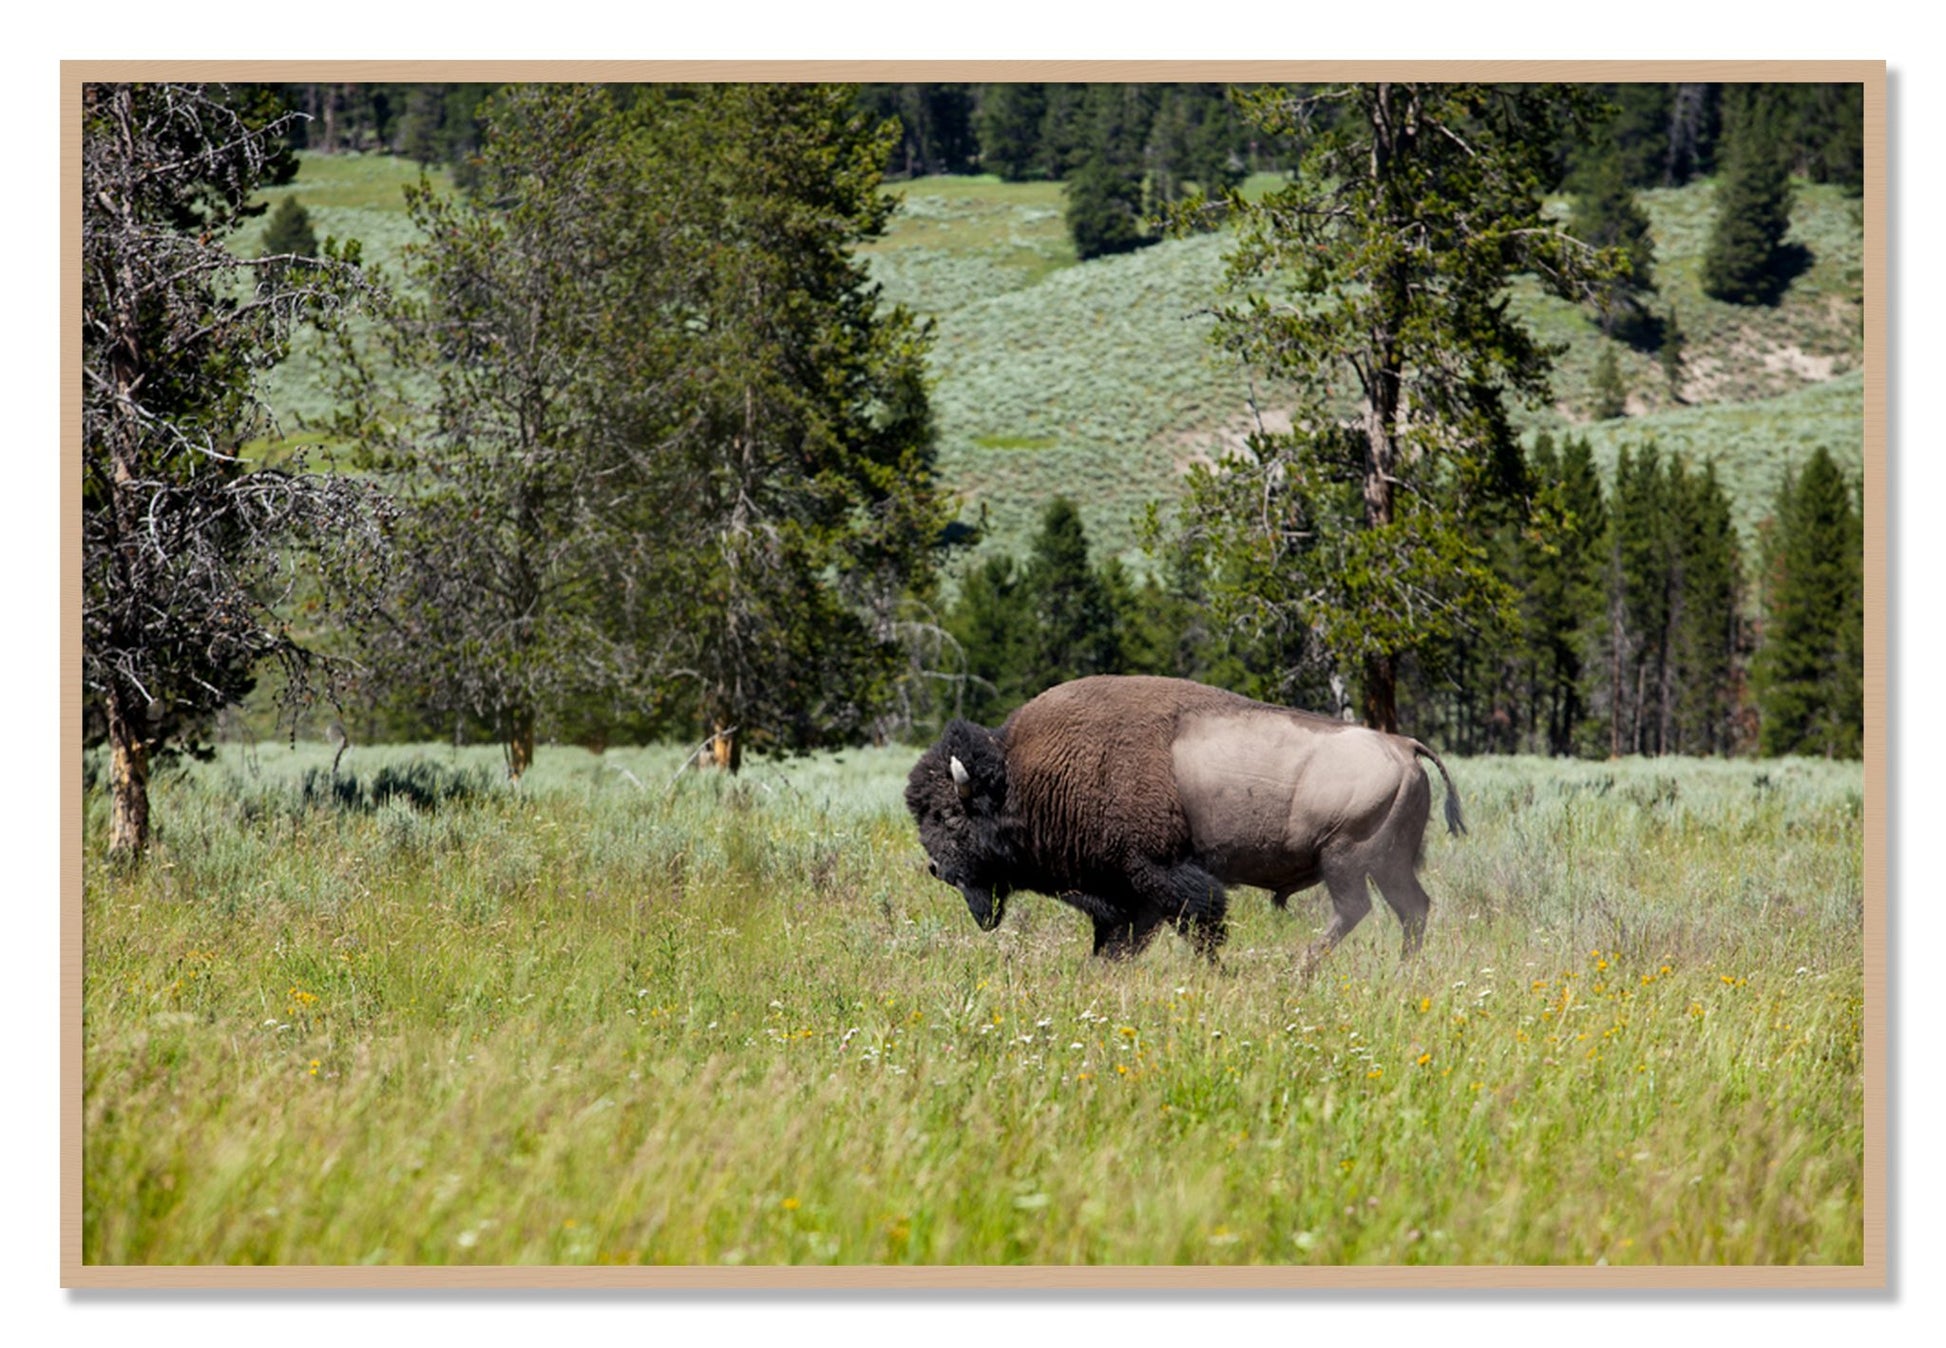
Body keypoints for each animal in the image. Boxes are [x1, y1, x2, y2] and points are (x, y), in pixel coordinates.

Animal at [905, 675, 1465, 972]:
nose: (937, 868)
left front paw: (1216, 971)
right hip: (1388, 864)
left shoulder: (1159, 874)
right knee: (1412, 909)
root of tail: (1403, 745)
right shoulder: (1127, 894)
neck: (1023, 776)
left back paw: (1300, 968)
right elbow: (1121, 939)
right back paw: (1402, 970)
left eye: (949, 815)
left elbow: (1200, 924)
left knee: (1356, 910)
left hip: (1345, 858)